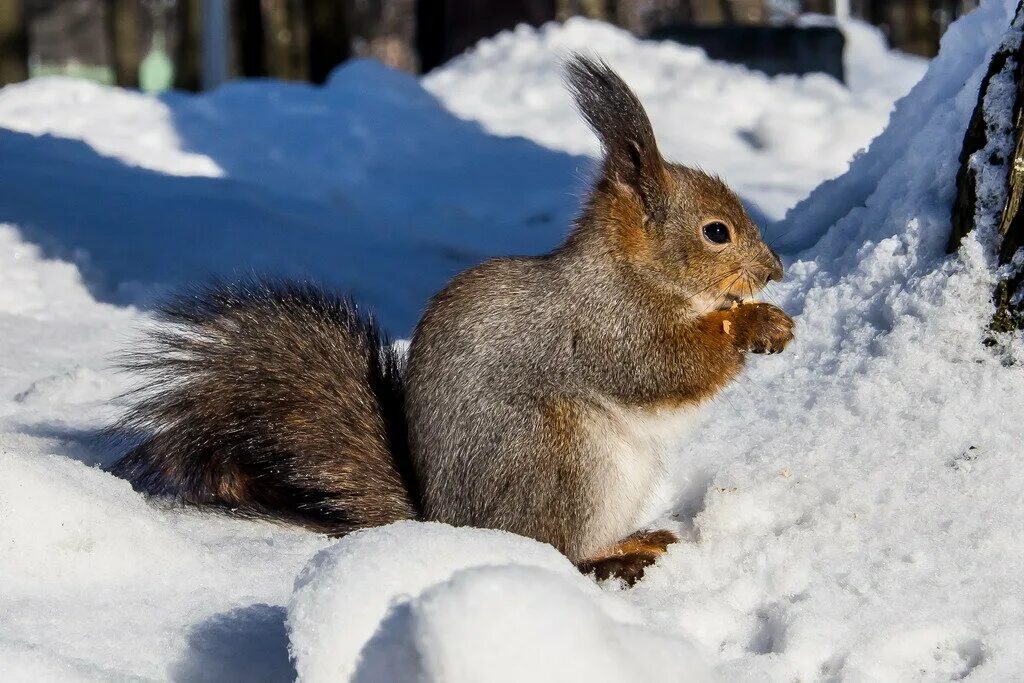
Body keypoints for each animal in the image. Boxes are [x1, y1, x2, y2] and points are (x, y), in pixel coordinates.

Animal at [112, 56, 790, 585]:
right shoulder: (606, 326)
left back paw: (633, 539)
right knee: (559, 548)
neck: (632, 271)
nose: (776, 269)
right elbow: (665, 367)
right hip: (564, 459)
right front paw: (753, 325)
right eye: (717, 232)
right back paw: (610, 558)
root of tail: (450, 525)